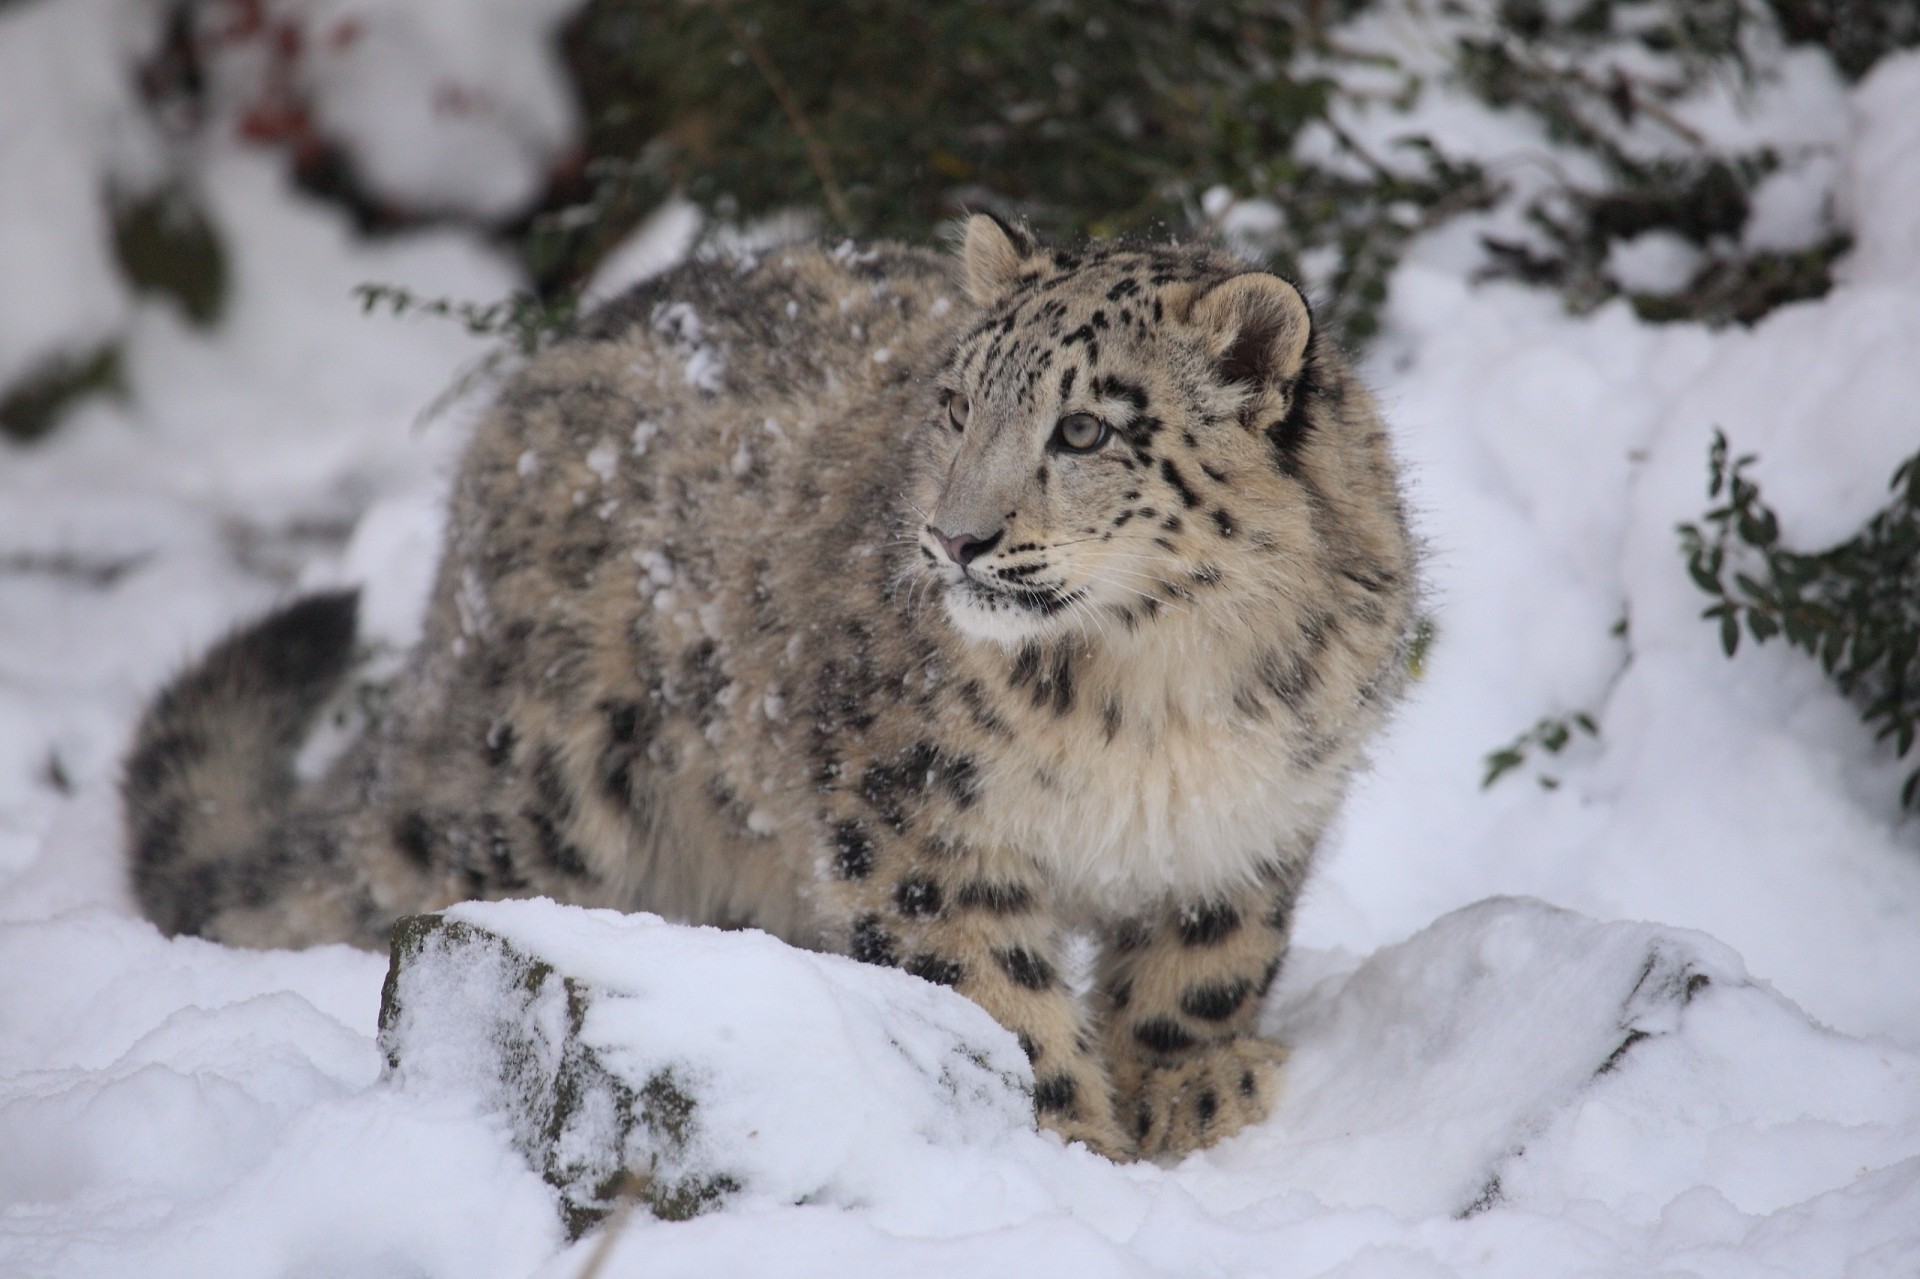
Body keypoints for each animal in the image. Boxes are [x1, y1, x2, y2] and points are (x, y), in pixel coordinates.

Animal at [120, 211, 1413, 1152]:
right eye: (957, 404)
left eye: (1087, 430)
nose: (955, 538)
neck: (1157, 690)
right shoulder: (914, 821)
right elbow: (992, 993)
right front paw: (1068, 1139)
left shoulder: (1257, 812)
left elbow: (1209, 963)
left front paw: (1186, 1094)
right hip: (543, 791)